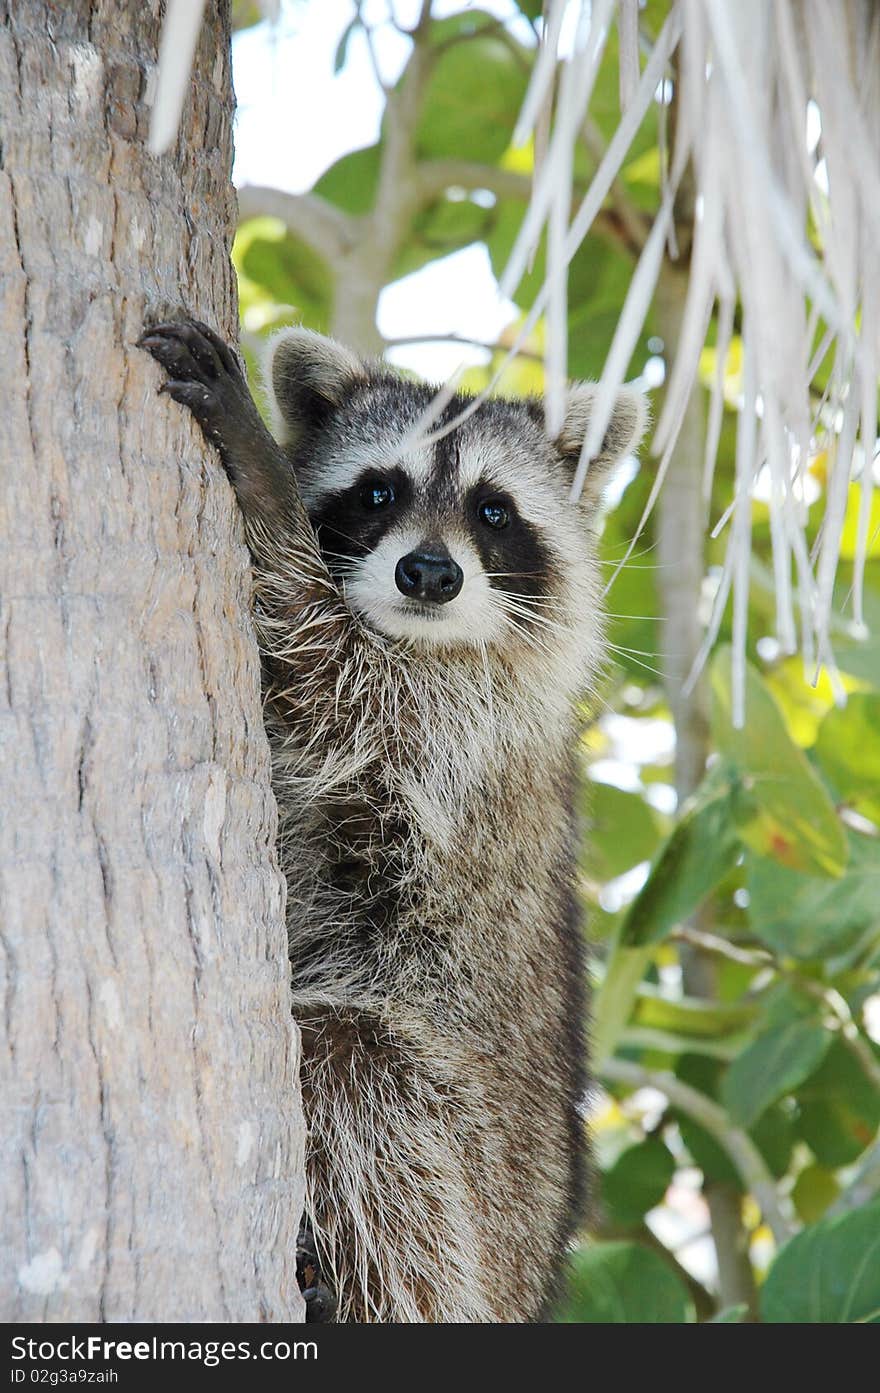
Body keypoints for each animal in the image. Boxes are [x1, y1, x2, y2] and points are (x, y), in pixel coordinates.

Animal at [137, 318, 646, 1326]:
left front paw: (264, 486)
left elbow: (333, 676)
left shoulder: (462, 729)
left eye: (494, 511)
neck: (422, 635)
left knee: (357, 1071)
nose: (429, 572)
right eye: (380, 490)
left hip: (475, 1169)